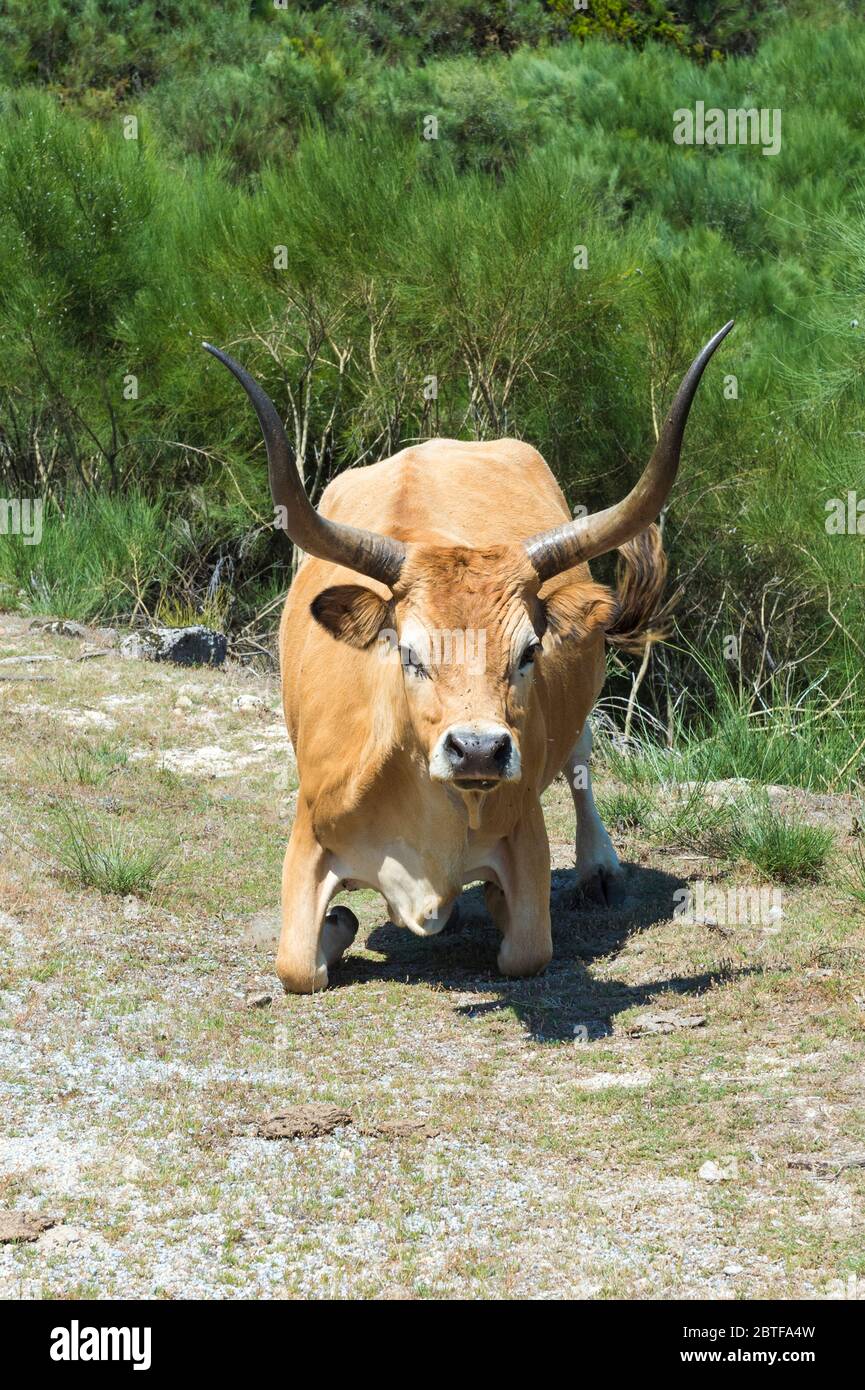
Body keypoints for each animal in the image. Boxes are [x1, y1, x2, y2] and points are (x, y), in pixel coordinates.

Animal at [207, 319, 734, 995]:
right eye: (407, 653)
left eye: (530, 651)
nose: (479, 750)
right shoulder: (308, 830)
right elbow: (297, 964)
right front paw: (340, 924)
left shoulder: (526, 834)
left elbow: (526, 949)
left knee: (582, 755)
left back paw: (598, 868)